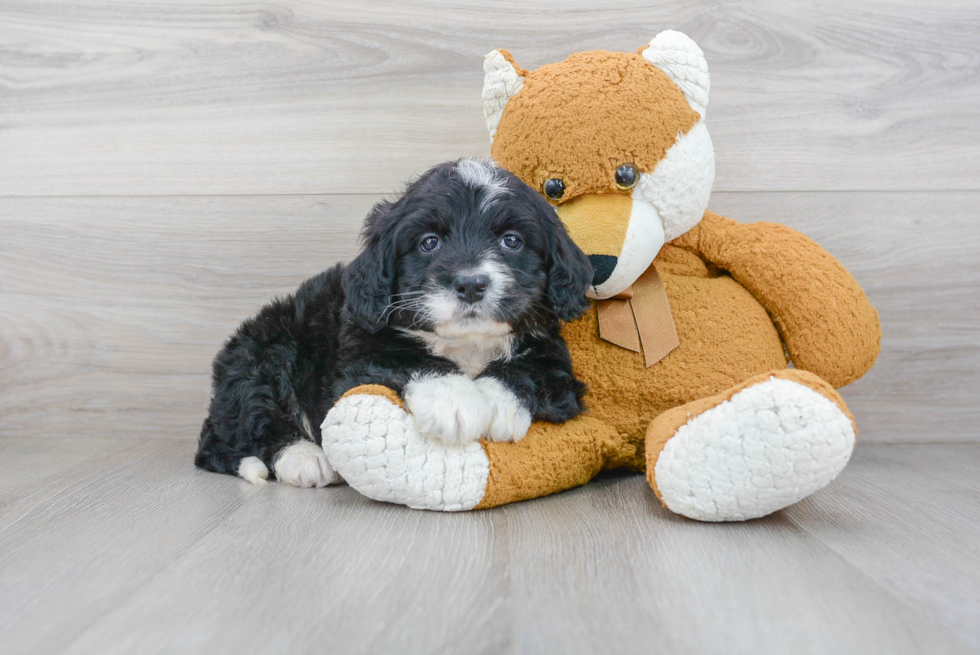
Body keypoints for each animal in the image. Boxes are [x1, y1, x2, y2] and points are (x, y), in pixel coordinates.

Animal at [191, 159, 588, 486]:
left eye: (511, 241)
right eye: (429, 242)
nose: (471, 284)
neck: (465, 344)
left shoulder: (558, 363)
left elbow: (536, 370)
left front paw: (494, 402)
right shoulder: (355, 357)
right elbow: (404, 357)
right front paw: (453, 399)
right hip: (262, 354)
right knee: (249, 424)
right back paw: (304, 458)